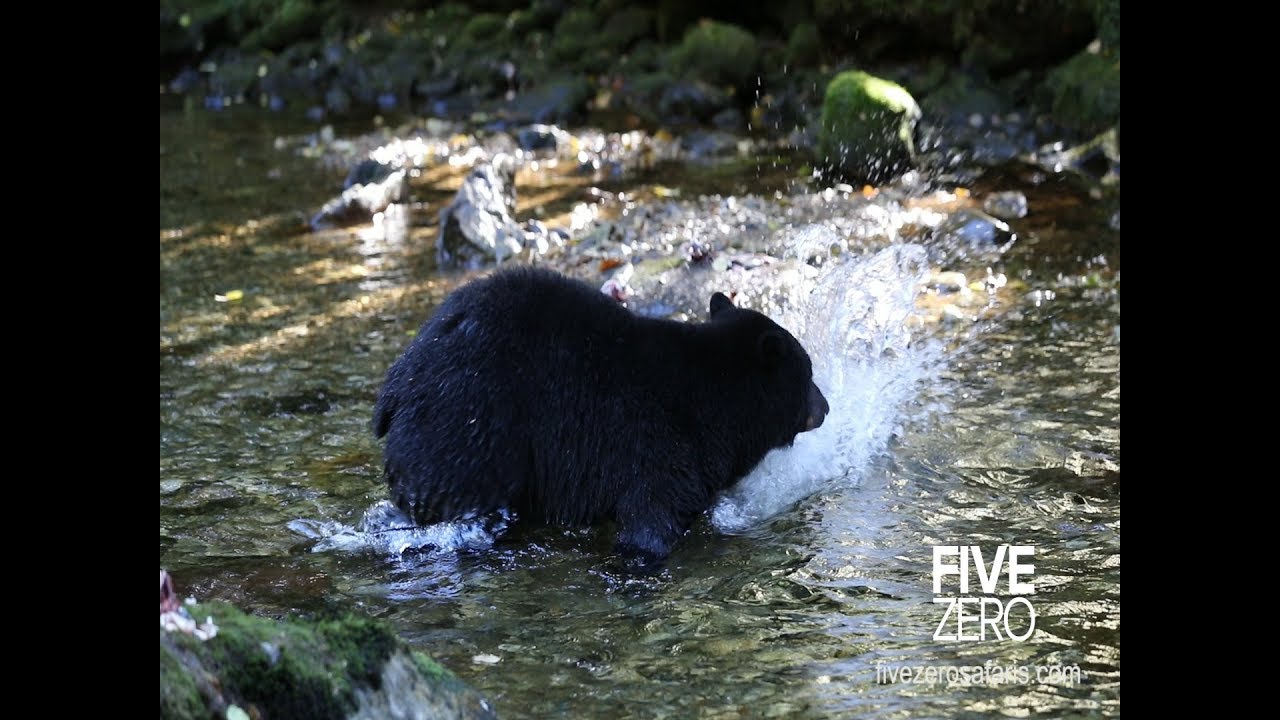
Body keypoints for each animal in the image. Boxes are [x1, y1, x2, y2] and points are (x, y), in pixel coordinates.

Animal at [372, 266, 828, 562]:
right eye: (808, 373)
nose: (825, 407)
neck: (713, 397)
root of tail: (396, 383)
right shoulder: (656, 439)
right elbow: (653, 512)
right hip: (469, 426)